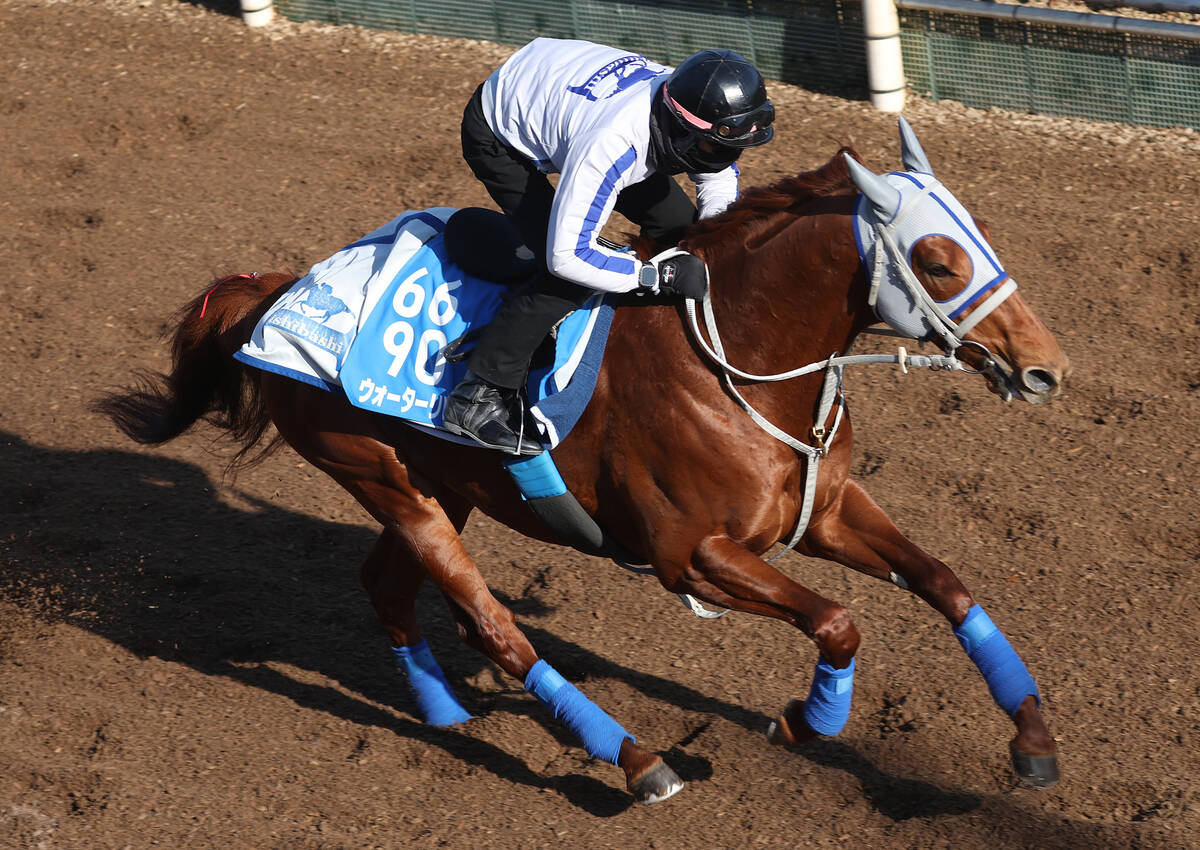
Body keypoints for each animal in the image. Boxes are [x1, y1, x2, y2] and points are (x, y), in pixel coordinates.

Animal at [97, 119, 1070, 804]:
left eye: (984, 231)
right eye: (936, 260)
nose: (1044, 368)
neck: (736, 356)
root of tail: (279, 295)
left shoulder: (826, 510)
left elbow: (946, 584)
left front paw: (1031, 739)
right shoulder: (692, 556)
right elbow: (837, 622)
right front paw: (804, 720)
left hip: (440, 487)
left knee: (390, 589)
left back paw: (446, 711)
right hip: (385, 479)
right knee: (493, 625)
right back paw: (632, 758)